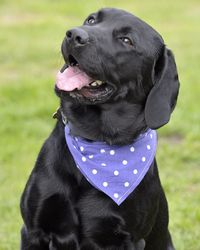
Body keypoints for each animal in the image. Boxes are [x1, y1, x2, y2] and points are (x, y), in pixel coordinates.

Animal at [20, 7, 180, 250]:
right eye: (91, 20)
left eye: (126, 40)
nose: (74, 35)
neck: (94, 141)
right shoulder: (33, 230)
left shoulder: (127, 239)